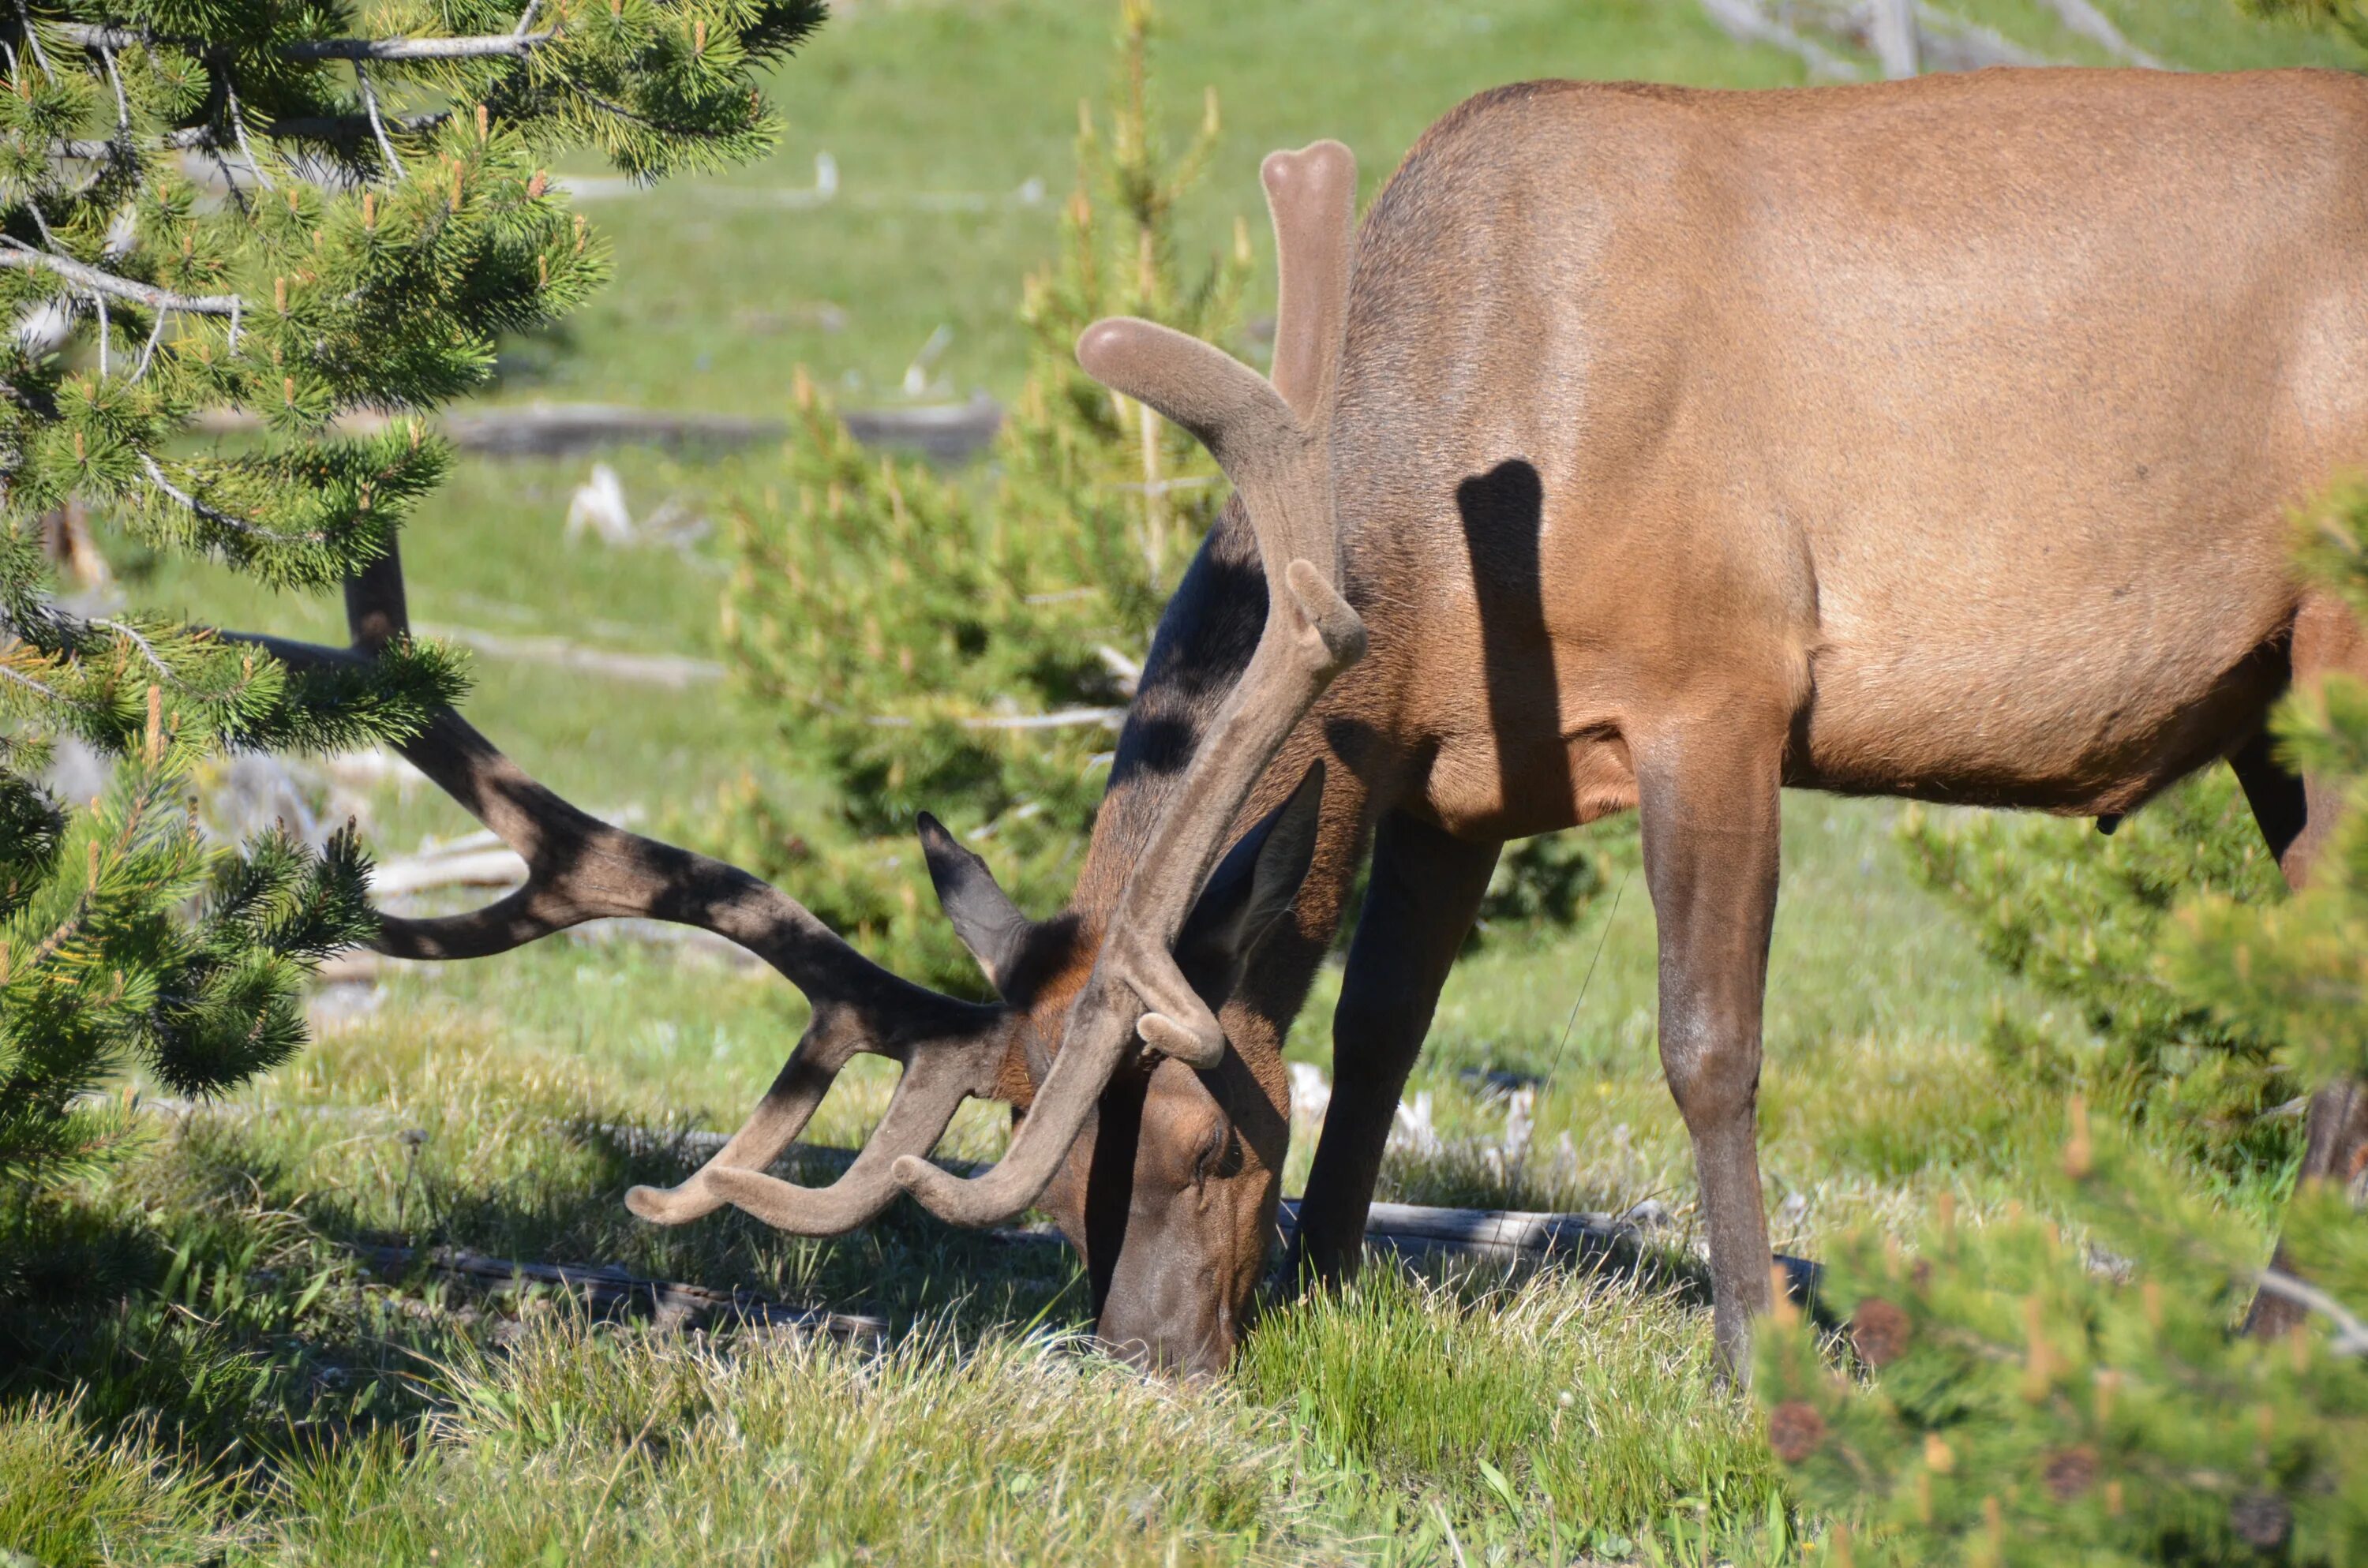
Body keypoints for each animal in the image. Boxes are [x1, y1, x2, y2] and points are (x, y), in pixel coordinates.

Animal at [259, 67, 2368, 1383]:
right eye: (1060, 1184)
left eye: (1201, 1139)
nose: (1144, 1362)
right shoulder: (1452, 770)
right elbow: (1379, 1032)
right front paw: (1346, 1287)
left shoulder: (1724, 679)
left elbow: (1704, 1047)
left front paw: (1760, 1346)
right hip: (2269, 695)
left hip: (2336, 630)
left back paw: (2268, 1345)